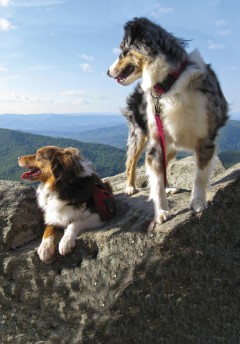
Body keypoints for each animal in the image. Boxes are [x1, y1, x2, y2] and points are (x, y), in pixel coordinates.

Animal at [108, 16, 228, 227]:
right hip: (139, 134)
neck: (169, 84)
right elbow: (155, 181)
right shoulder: (156, 140)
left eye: (122, 50)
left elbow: (199, 176)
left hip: (171, 146)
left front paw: (197, 202)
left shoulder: (206, 139)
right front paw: (162, 211)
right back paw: (130, 187)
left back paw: (170, 187)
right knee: (131, 161)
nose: (107, 72)